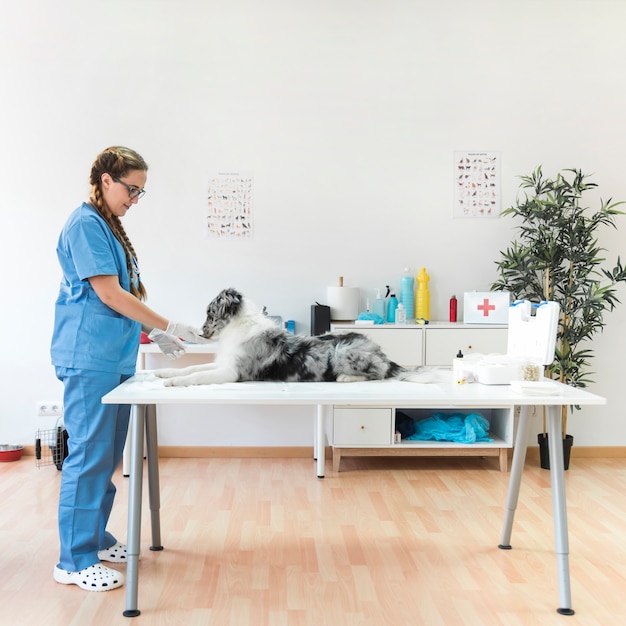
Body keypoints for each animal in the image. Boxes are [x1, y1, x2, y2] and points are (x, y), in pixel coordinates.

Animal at [155, 288, 428, 386]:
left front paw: (173, 383)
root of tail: (383, 353)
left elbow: (197, 376)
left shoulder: (232, 372)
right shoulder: (224, 362)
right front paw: (165, 373)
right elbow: (191, 368)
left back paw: (345, 378)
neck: (238, 326)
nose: (200, 332)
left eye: (210, 313)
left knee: (378, 373)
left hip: (343, 350)